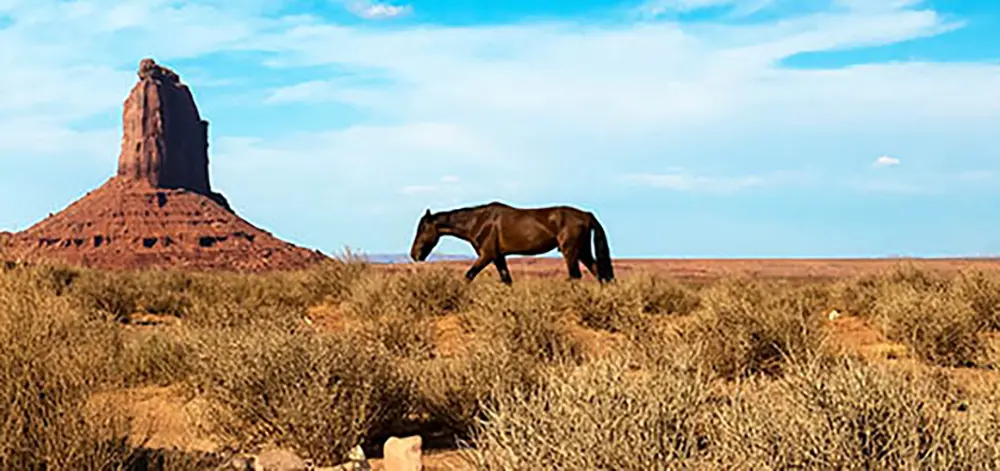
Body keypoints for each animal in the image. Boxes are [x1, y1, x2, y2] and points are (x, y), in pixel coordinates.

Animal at [409, 202, 614, 285]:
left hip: (570, 251)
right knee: (599, 274)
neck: (478, 221)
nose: (414, 254)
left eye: (422, 229)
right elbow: (506, 280)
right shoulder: (498, 257)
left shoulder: (487, 255)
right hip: (583, 251)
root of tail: (586, 215)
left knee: (575, 276)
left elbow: (469, 275)